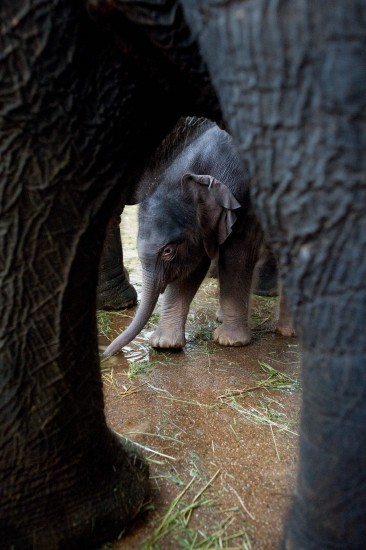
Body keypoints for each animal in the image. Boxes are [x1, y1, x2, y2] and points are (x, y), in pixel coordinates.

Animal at [104, 118, 294, 356]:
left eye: (168, 251)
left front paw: (229, 341)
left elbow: (236, 258)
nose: (107, 353)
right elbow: (192, 268)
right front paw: (165, 344)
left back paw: (288, 332)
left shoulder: (244, 204)